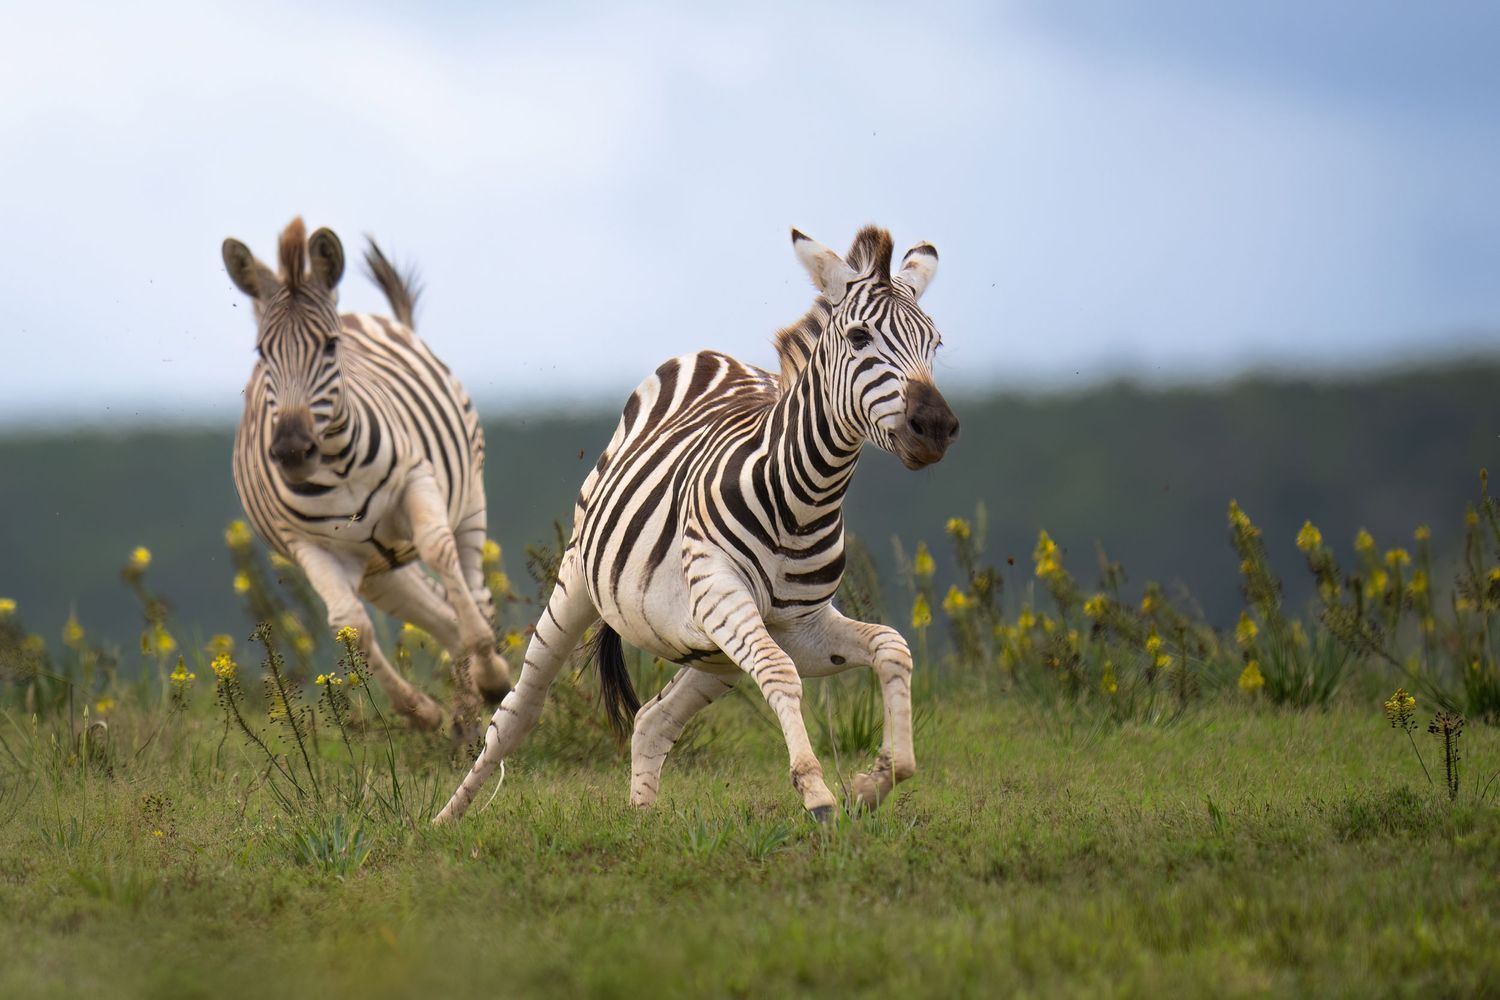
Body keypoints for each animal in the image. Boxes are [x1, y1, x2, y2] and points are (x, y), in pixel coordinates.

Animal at [223, 217, 511, 731]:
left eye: (330, 346)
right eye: (261, 352)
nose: (292, 451)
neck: (338, 465)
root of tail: (362, 314)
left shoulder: (417, 480)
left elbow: (438, 551)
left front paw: (491, 673)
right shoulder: (308, 545)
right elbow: (348, 623)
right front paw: (419, 711)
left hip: (468, 500)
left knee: (472, 590)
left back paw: (489, 679)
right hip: (379, 568)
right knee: (442, 614)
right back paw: (464, 714)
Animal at [435, 224, 957, 823]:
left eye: (935, 343)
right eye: (858, 337)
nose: (935, 426)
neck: (803, 500)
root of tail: (713, 356)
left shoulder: (796, 627)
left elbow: (891, 647)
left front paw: (873, 783)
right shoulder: (721, 591)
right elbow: (781, 672)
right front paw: (818, 794)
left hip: (715, 654)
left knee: (651, 719)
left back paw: (641, 821)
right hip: (579, 586)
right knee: (518, 712)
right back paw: (445, 818)